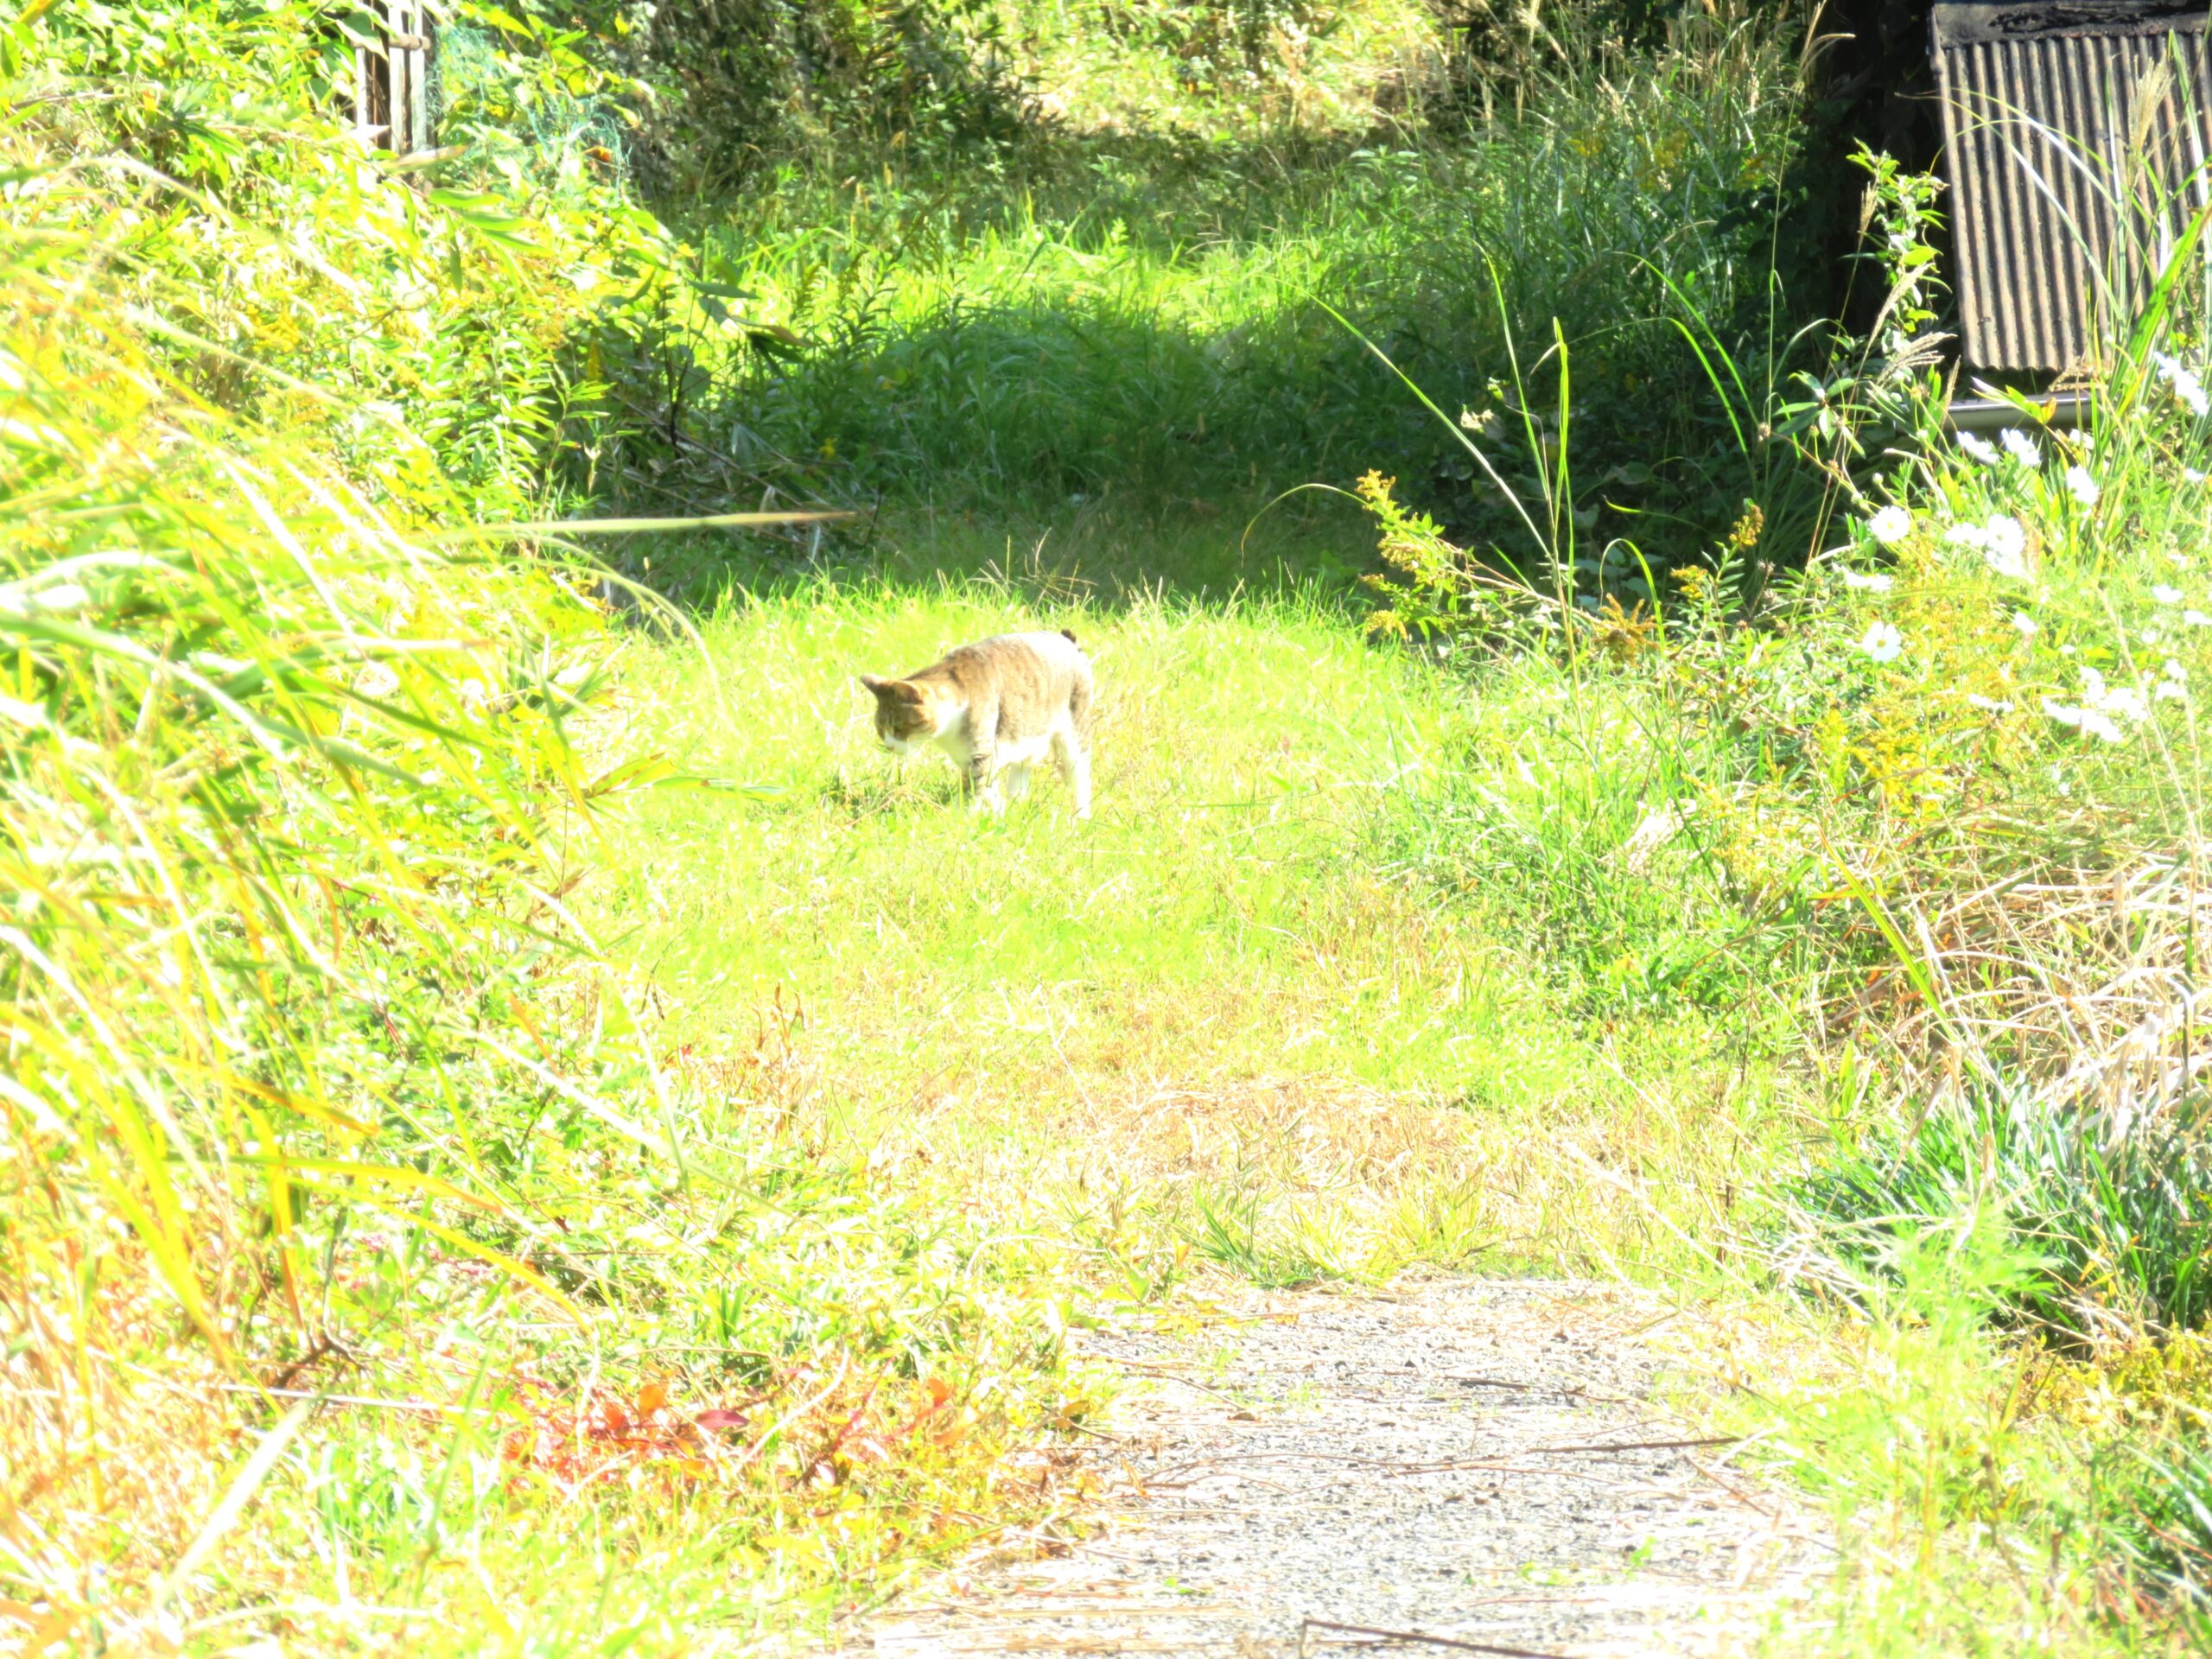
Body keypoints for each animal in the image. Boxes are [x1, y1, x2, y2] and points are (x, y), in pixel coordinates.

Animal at [867, 628, 1101, 818]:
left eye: (898, 728)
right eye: (880, 730)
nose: (889, 746)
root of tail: (1067, 639)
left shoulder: (980, 753)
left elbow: (975, 788)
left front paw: (963, 818)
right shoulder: (974, 757)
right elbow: (989, 788)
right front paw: (998, 813)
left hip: (1074, 732)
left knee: (1080, 774)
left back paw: (1081, 816)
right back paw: (1016, 804)